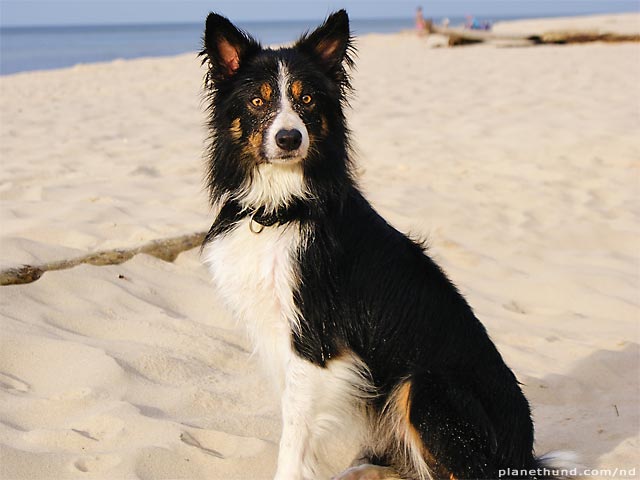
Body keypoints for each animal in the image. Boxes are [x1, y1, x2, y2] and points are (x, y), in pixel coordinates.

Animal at [199, 9, 564, 478]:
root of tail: (523, 455)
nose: (289, 139)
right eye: (258, 102)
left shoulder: (315, 338)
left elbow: (294, 433)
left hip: (422, 387)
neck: (280, 209)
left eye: (307, 100)